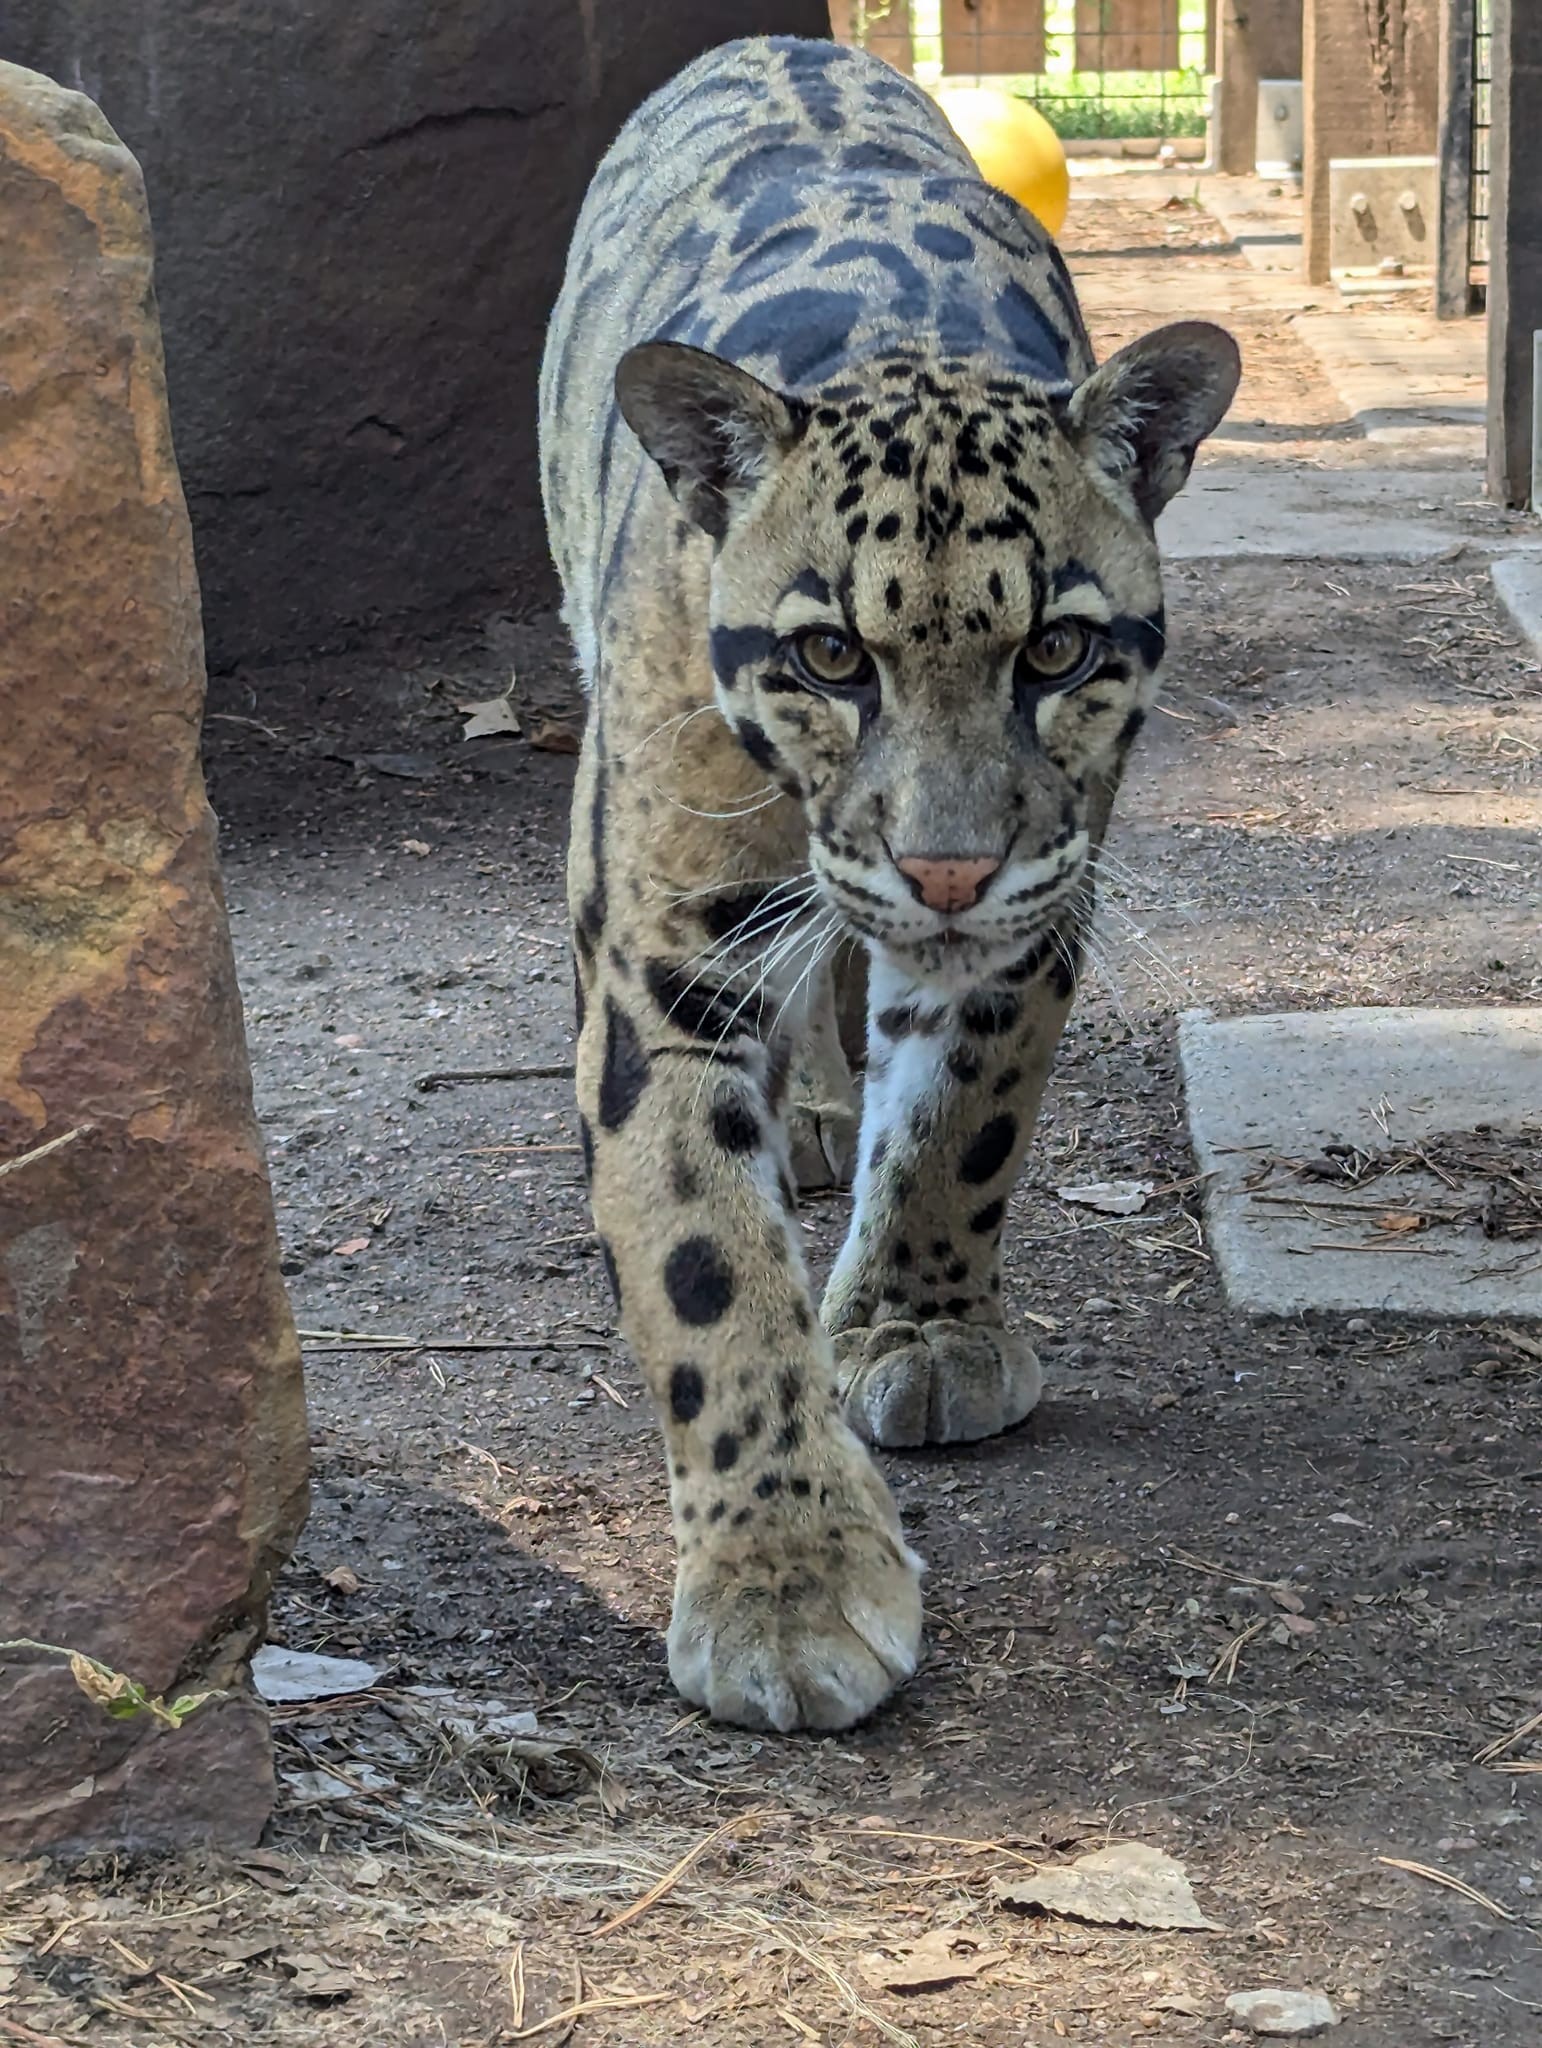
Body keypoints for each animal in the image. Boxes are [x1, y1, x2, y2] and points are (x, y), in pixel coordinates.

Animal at [537, 34, 1238, 1735]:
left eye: (1054, 650)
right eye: (826, 659)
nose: (943, 865)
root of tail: (765, 38)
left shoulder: (1032, 902)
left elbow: (955, 1125)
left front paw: (919, 1326)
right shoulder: (657, 959)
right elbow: (703, 1257)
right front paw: (784, 1579)